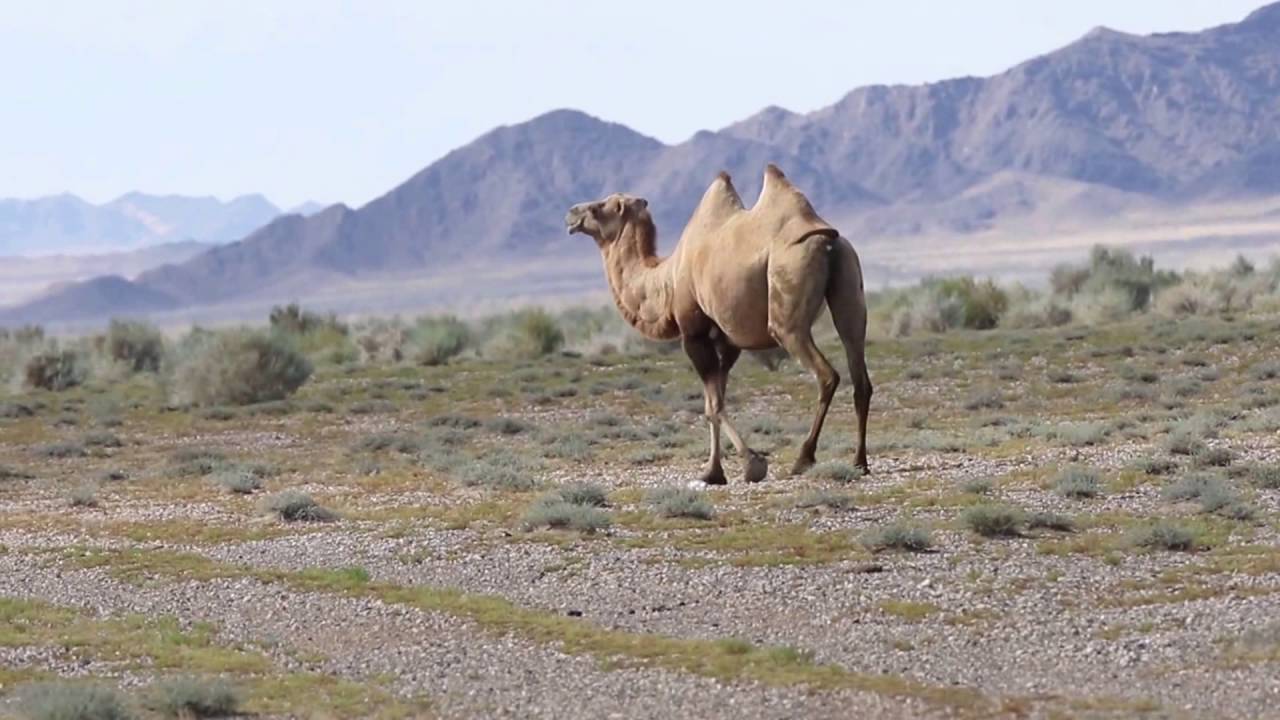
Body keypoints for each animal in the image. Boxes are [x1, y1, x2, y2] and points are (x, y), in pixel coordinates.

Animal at [565, 164, 872, 486]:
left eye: (600, 207)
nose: (571, 213)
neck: (666, 279)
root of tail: (827, 239)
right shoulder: (726, 341)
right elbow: (714, 401)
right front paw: (713, 472)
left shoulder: (693, 334)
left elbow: (714, 404)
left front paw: (752, 463)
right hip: (848, 279)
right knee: (859, 371)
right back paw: (859, 462)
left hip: (788, 299)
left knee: (826, 374)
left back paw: (804, 458)